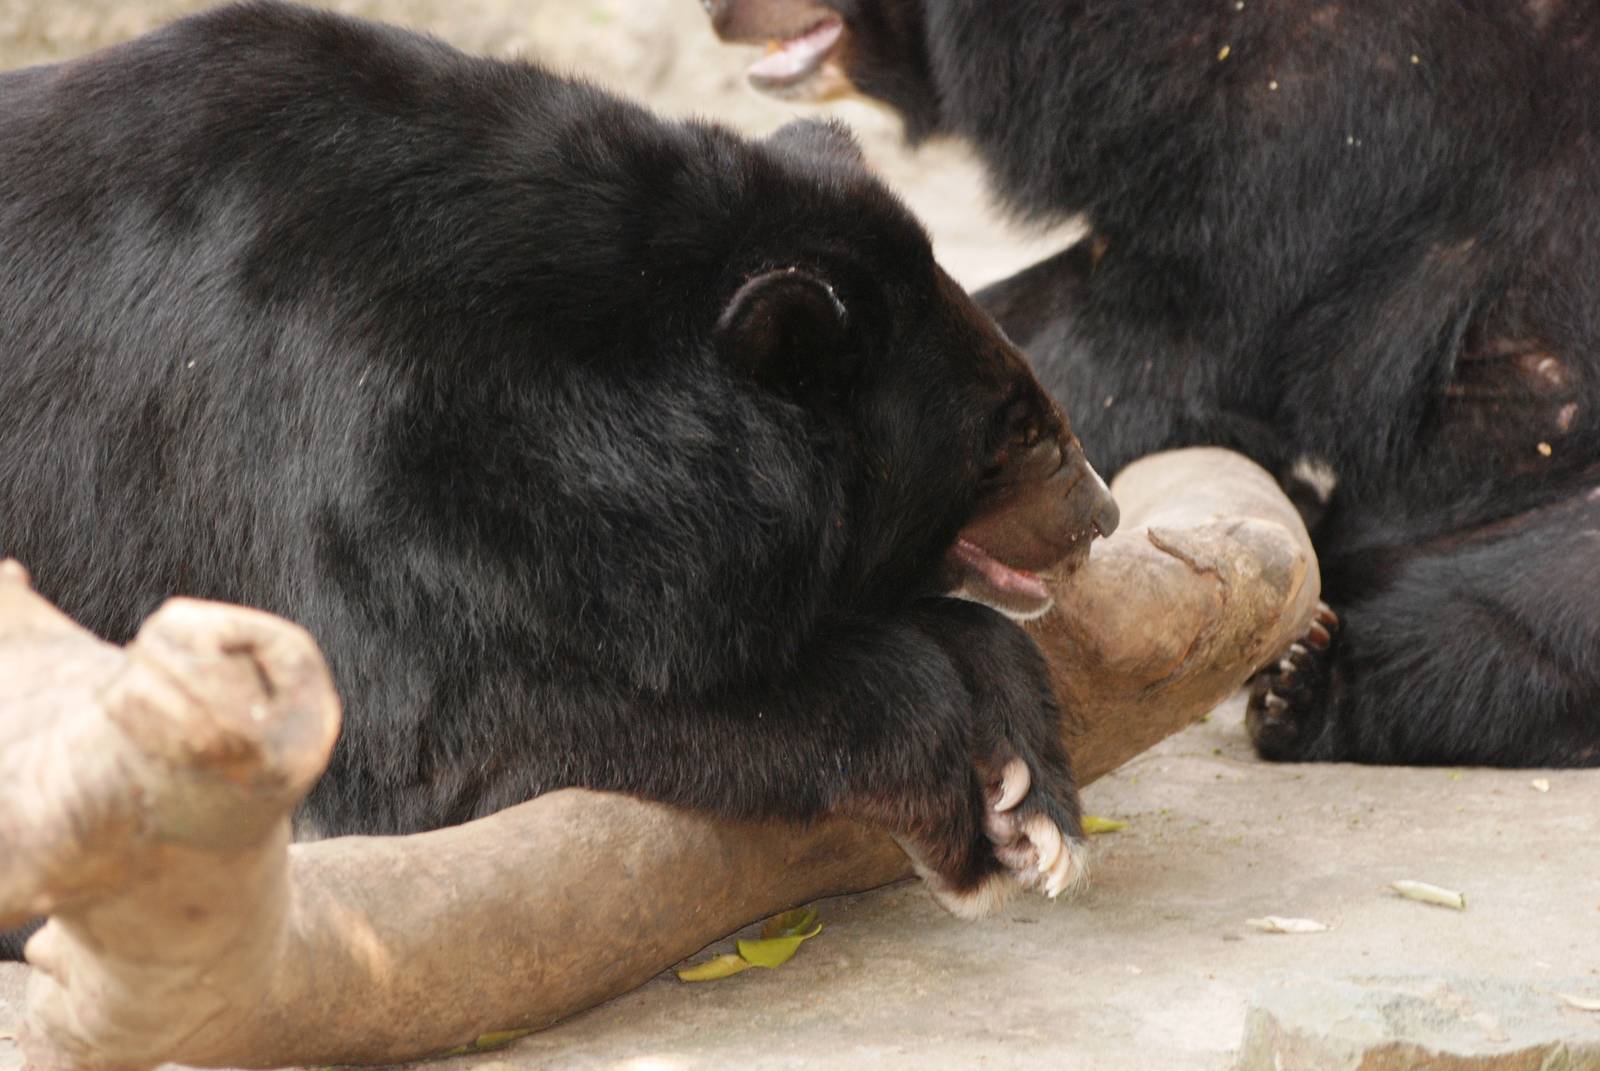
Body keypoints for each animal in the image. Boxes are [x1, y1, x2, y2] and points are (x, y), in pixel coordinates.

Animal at [0, 1, 1124, 960]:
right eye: (1016, 437)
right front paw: (965, 816)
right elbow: (443, 720)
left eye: (1032, 404)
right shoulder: (323, 457)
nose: (1103, 513)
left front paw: (1033, 808)